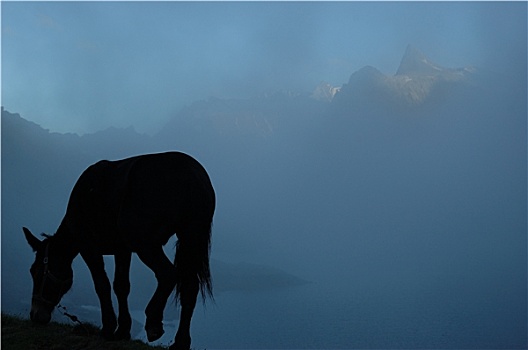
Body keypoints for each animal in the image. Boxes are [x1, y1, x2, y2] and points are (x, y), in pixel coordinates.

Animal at [23, 151, 214, 350]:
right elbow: (121, 286)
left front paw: (108, 328)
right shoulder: (123, 249)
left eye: (36, 271)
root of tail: (190, 174)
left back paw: (153, 321)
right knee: (190, 286)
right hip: (190, 236)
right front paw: (123, 330)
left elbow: (102, 285)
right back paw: (181, 342)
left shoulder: (88, 247)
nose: (35, 314)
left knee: (167, 274)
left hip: (145, 244)